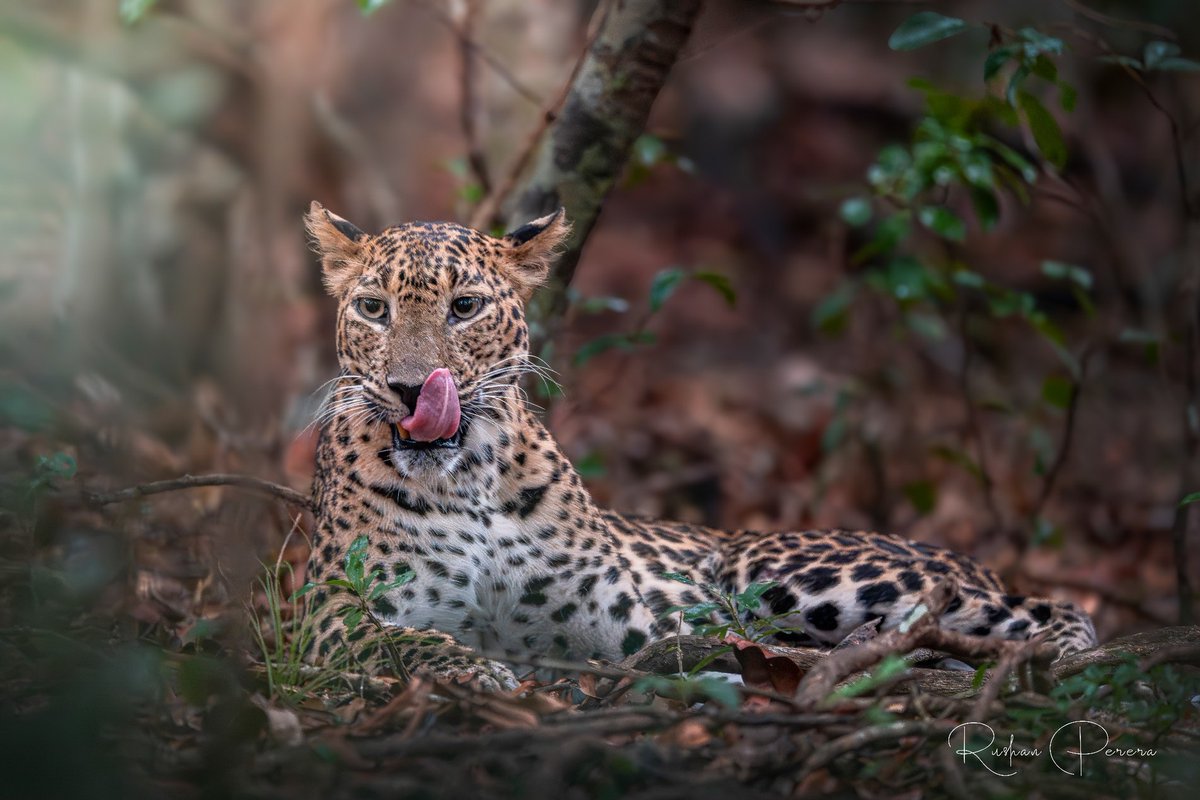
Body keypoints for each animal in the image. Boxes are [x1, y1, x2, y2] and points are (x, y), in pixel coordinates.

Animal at [300, 201, 1097, 690]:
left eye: (464, 307)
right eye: (373, 308)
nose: (411, 389)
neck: (466, 480)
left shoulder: (626, 627)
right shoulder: (325, 613)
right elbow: (399, 638)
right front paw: (475, 672)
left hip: (789, 571)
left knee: (1048, 607)